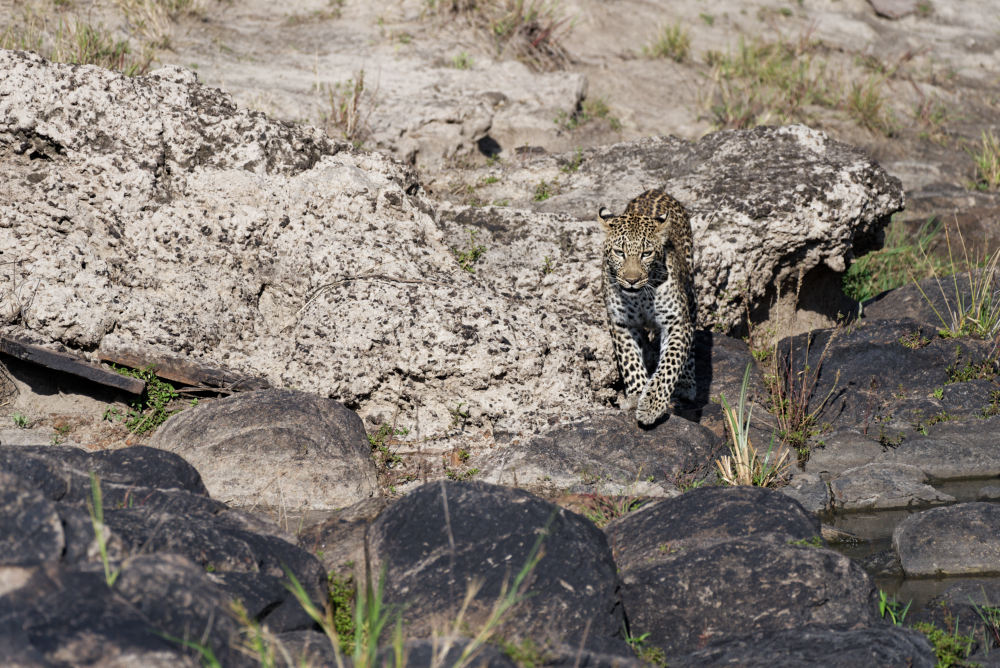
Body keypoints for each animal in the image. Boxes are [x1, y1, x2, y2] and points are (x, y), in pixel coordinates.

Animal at [596, 188, 700, 428]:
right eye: (619, 252)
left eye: (646, 253)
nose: (632, 280)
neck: (640, 298)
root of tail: (655, 191)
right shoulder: (621, 323)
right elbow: (630, 361)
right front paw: (636, 395)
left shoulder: (675, 322)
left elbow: (669, 365)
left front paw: (652, 405)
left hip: (689, 289)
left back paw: (687, 382)